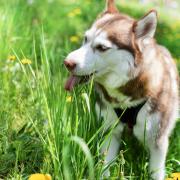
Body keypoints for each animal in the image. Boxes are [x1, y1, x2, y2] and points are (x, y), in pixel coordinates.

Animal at [63, 0, 179, 179]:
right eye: (85, 39)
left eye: (102, 47)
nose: (67, 63)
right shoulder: (110, 131)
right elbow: (105, 165)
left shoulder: (157, 141)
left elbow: (156, 172)